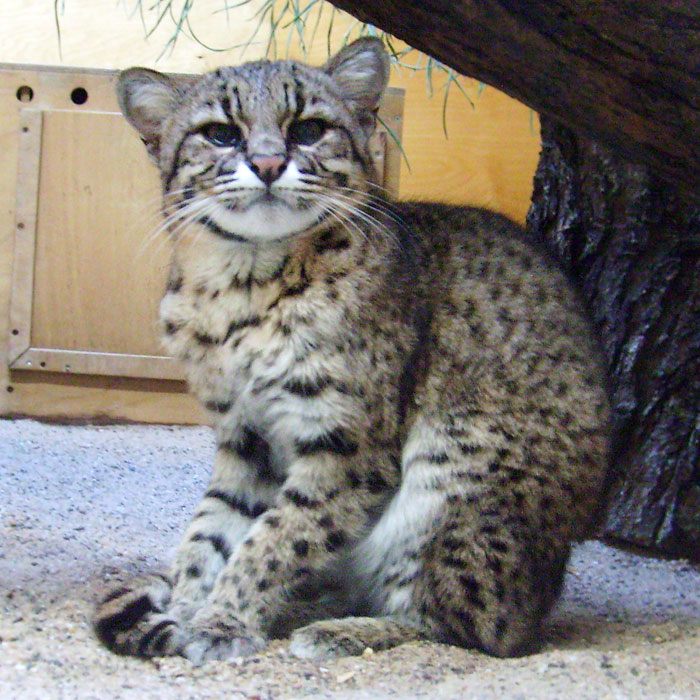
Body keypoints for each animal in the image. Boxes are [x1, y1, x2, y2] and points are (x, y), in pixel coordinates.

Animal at [94, 37, 612, 660]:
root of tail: (549, 590)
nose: (268, 165)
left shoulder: (349, 445)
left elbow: (278, 535)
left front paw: (223, 620)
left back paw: (345, 630)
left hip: (457, 464)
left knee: (479, 629)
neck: (242, 286)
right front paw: (192, 605)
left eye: (308, 129)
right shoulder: (242, 436)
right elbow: (209, 529)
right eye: (220, 134)